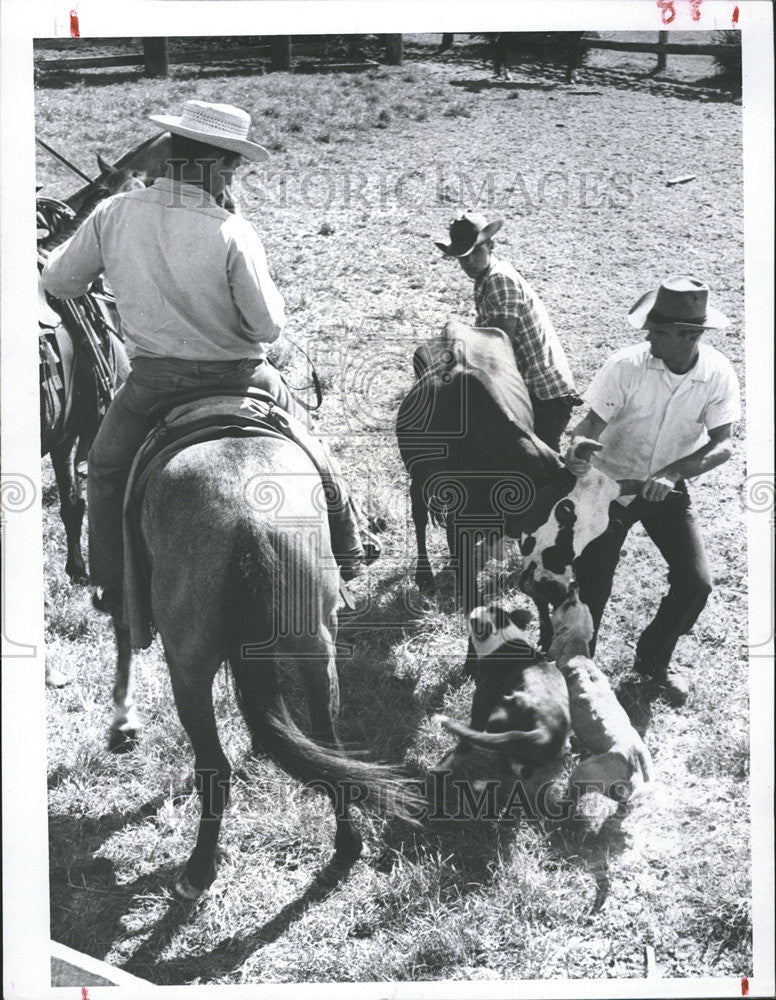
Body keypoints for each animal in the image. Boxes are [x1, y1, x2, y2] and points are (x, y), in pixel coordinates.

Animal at [107, 432, 422, 900]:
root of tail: (247, 519)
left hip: (187, 664)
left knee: (213, 767)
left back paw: (197, 871)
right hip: (315, 646)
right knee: (326, 740)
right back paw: (348, 845)